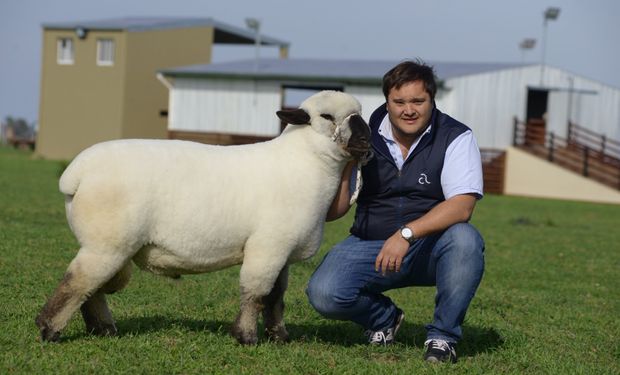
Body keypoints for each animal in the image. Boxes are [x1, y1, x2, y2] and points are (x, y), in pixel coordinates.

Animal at [35, 91, 372, 346]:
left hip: (110, 246)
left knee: (92, 288)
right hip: (107, 243)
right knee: (78, 284)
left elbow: (275, 298)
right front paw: (246, 336)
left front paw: (279, 336)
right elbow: (256, 293)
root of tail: (76, 173)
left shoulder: (283, 252)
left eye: (359, 114)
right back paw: (49, 329)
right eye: (326, 117)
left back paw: (102, 329)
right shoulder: (267, 247)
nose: (366, 136)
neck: (305, 163)